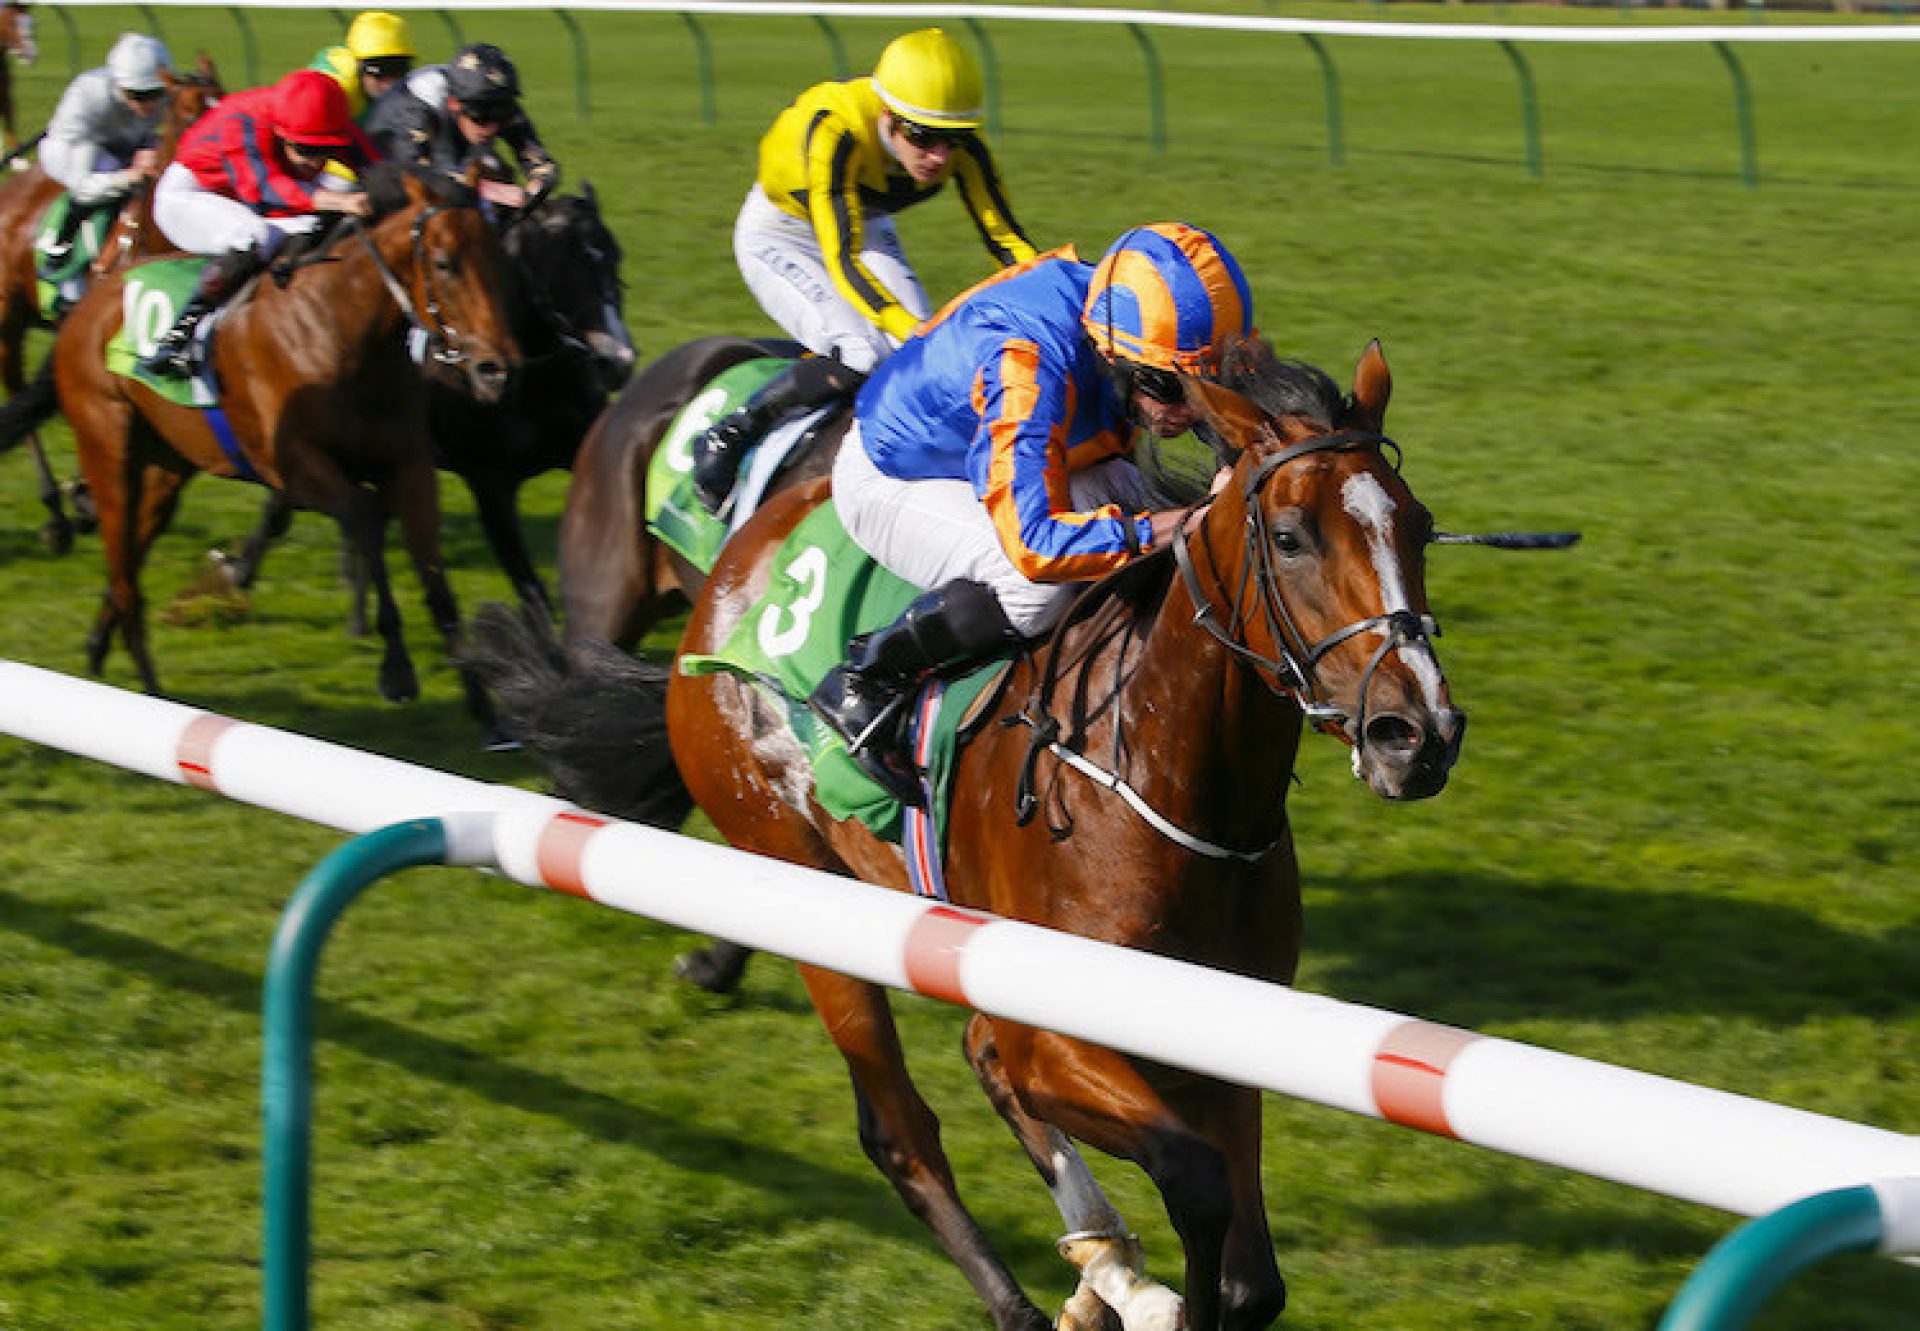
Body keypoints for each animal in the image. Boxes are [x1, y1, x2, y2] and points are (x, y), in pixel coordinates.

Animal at [0, 54, 219, 553]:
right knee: (16, 389)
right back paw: (55, 514)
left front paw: (86, 497)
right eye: (190, 113)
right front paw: (82, 499)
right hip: (6, 320)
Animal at [0, 166, 522, 737]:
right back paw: (151, 692)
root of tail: (90, 300)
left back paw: (99, 649)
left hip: (166, 468)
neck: (341, 327)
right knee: (123, 565)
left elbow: (437, 582)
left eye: (500, 259)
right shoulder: (294, 468)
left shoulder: (408, 468)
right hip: (108, 446)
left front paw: (486, 710)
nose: (497, 368)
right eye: (445, 263)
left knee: (130, 559)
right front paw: (397, 669)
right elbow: (363, 516)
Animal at [472, 334, 1459, 1329]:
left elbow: (1251, 1277)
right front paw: (1157, 1294)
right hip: (799, 879)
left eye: (1418, 525)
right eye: (1290, 536)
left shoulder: (1230, 1032)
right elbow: (1193, 1176)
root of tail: (723, 584)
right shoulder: (1056, 1034)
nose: (1416, 735)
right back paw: (1027, 1298)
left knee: (976, 1058)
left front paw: (1144, 1282)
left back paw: (1108, 1271)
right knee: (901, 1131)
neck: (1168, 779)